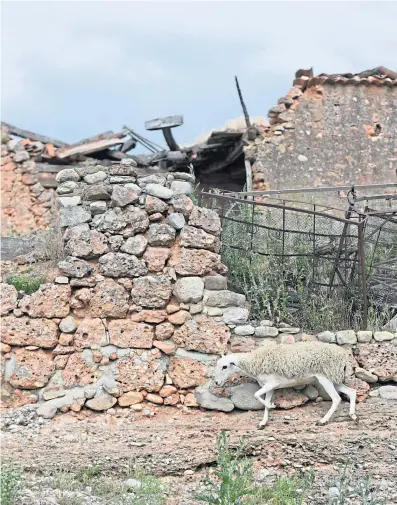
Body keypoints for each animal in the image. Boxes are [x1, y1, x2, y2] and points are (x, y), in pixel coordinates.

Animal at [213, 340, 356, 428]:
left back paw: (323, 420)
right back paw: (353, 415)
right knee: (352, 392)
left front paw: (272, 406)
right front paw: (263, 422)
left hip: (326, 378)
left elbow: (256, 395)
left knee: (336, 398)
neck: (252, 362)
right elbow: (263, 401)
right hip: (334, 378)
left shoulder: (272, 383)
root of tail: (344, 357)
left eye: (225, 367)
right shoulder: (269, 387)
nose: (216, 382)